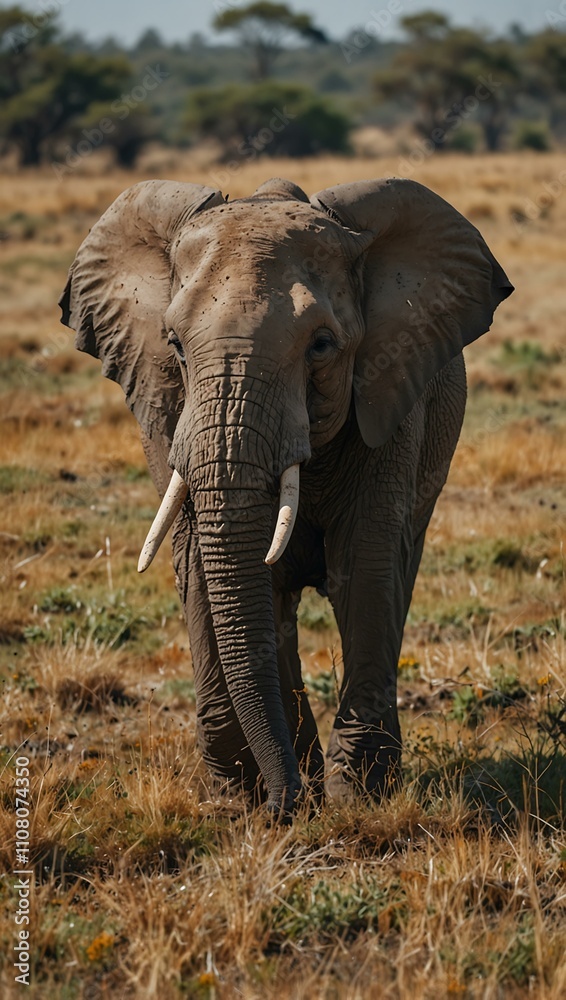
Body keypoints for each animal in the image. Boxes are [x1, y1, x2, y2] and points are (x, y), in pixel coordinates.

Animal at [59, 176, 513, 816]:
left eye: (321, 345)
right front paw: (235, 799)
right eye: (174, 344)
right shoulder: (165, 413)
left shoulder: (390, 393)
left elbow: (365, 565)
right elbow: (198, 564)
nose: (282, 807)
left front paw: (356, 799)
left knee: (397, 569)